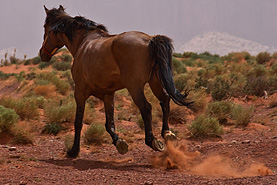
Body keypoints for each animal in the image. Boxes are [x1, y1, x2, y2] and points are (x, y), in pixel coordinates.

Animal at [39, 4, 190, 158]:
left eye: (45, 27)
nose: (42, 54)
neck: (84, 42)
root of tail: (150, 40)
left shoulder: (80, 92)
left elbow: (78, 122)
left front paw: (73, 151)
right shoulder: (108, 94)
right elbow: (109, 123)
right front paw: (120, 143)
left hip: (135, 87)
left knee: (146, 107)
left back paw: (152, 141)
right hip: (155, 82)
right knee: (165, 100)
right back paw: (167, 133)